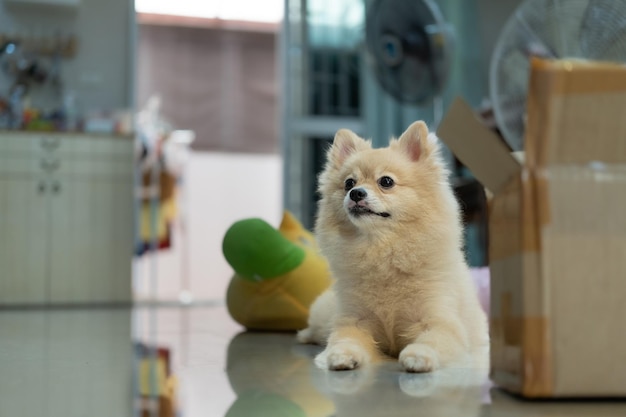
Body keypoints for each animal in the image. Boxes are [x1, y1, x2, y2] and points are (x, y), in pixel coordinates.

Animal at [298, 120, 488, 370]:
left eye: (386, 182)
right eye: (349, 183)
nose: (355, 193)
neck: (381, 249)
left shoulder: (440, 323)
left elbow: (432, 340)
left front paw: (419, 355)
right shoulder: (355, 319)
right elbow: (344, 338)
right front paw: (339, 354)